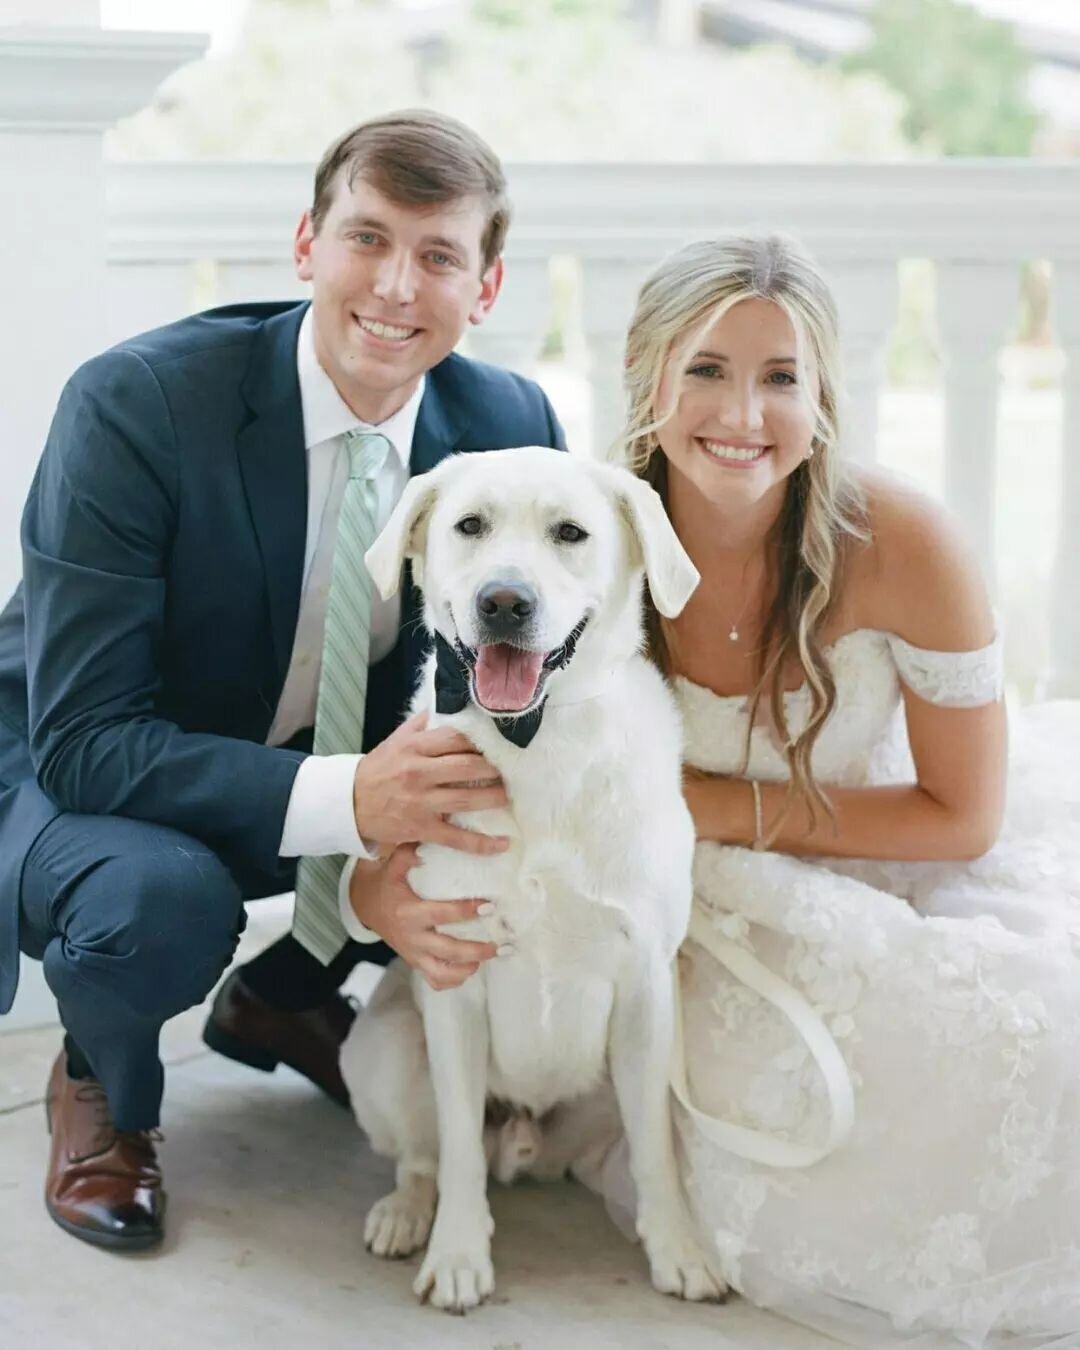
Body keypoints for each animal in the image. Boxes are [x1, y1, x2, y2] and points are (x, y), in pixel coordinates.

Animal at [340, 448, 723, 1312]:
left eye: (570, 533)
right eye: (470, 526)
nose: (504, 601)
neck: (536, 744)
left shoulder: (647, 990)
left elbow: (657, 1151)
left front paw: (679, 1248)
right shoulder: (453, 982)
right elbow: (455, 1148)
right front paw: (458, 1254)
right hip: (385, 1049)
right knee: (425, 1157)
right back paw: (405, 1214)